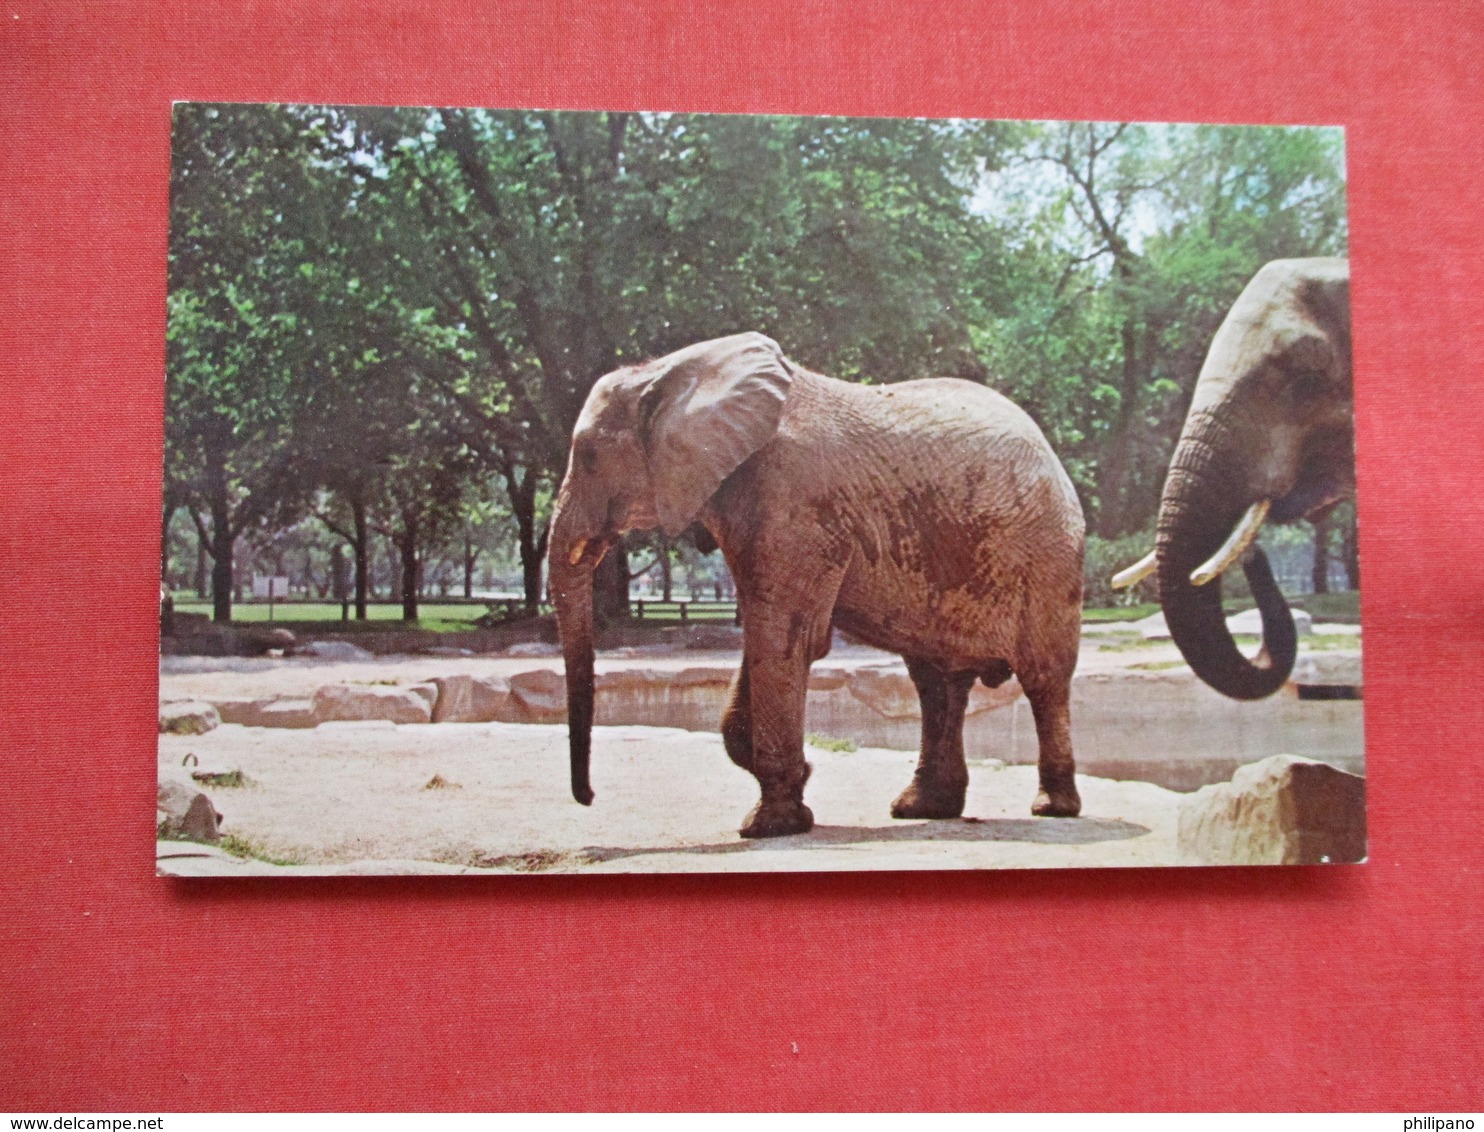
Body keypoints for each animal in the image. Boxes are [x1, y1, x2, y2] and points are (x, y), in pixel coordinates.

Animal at [552, 332, 1086, 836]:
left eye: (590, 457)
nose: (589, 799)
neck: (673, 370)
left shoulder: (795, 504)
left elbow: (785, 638)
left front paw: (769, 826)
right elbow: (770, 638)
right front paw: (801, 783)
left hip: (1048, 559)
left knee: (1043, 679)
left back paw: (1052, 808)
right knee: (937, 683)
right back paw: (922, 809)